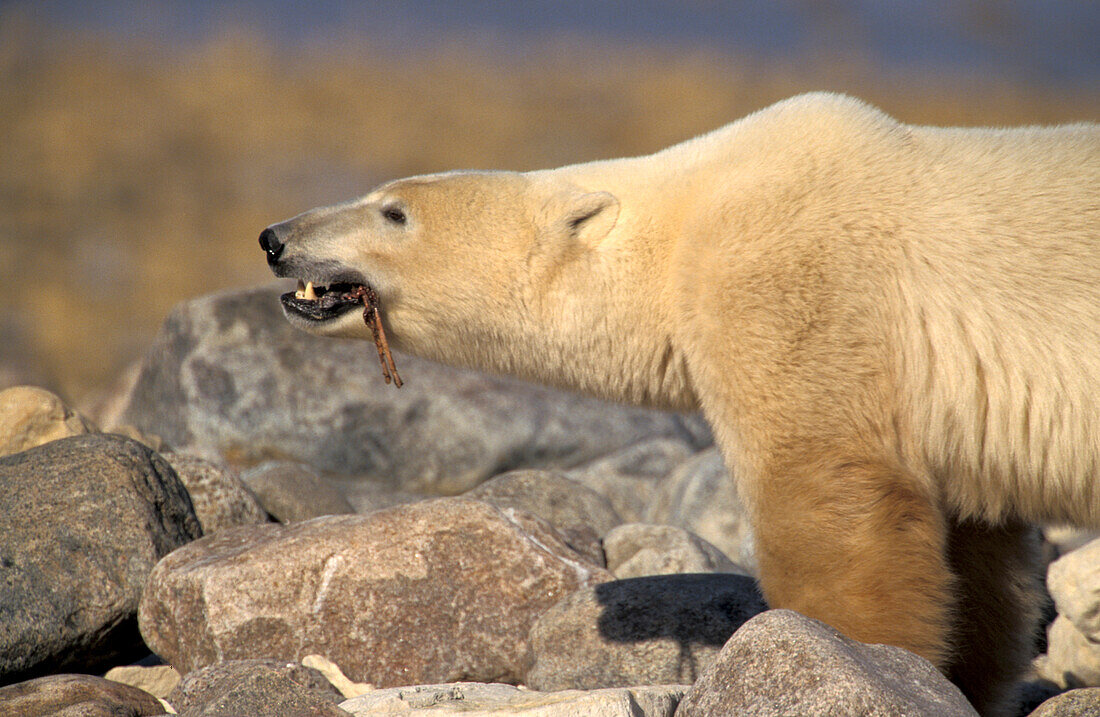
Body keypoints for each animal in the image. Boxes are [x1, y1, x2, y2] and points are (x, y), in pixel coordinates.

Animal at [259, 94, 1100, 712]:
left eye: (393, 211)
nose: (274, 236)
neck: (682, 220)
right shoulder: (951, 409)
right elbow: (982, 558)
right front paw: (961, 675)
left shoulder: (791, 284)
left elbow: (828, 497)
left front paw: (850, 652)